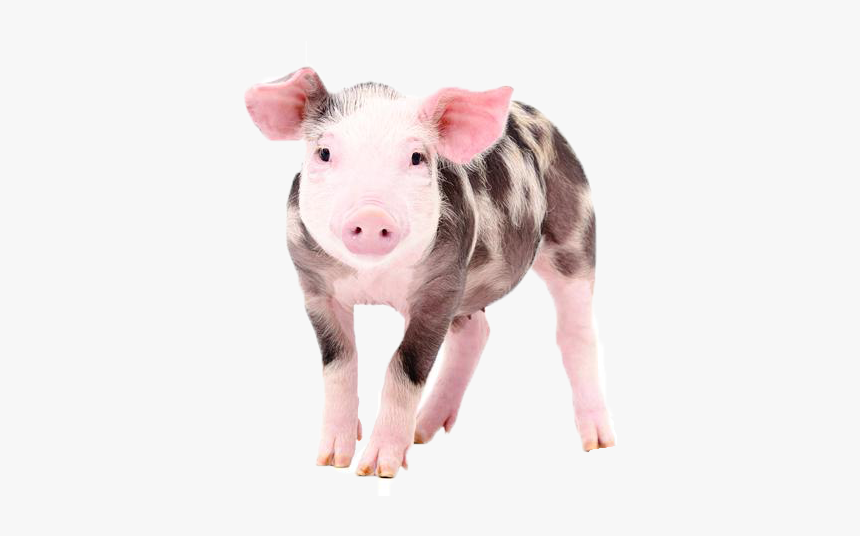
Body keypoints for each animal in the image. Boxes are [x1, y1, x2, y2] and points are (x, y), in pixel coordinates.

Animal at [245, 67, 615, 478]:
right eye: (324, 153)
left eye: (416, 157)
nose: (371, 213)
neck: (375, 280)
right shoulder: (314, 287)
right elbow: (339, 363)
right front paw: (332, 459)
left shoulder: (438, 289)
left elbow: (404, 366)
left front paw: (378, 468)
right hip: (470, 283)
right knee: (477, 331)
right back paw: (423, 431)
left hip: (574, 231)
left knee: (576, 332)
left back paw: (598, 442)